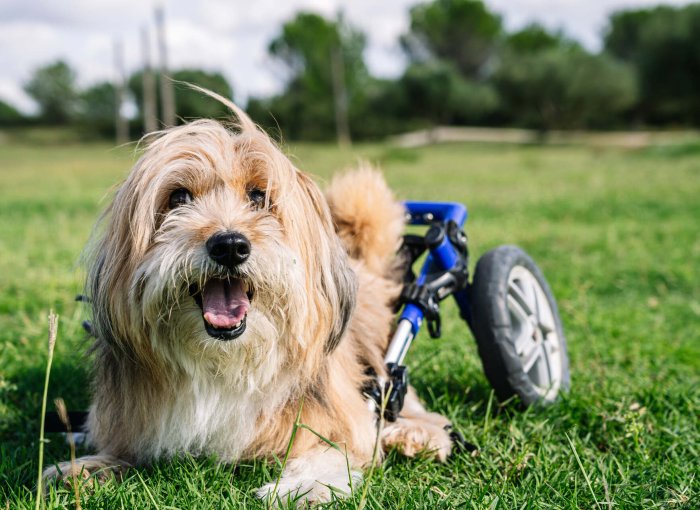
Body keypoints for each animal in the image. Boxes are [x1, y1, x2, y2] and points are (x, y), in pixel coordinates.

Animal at [46, 93, 456, 504]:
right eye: (178, 197)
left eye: (260, 196)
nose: (229, 245)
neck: (225, 362)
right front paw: (88, 465)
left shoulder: (338, 414)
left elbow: (333, 447)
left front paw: (306, 485)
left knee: (406, 401)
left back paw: (416, 434)